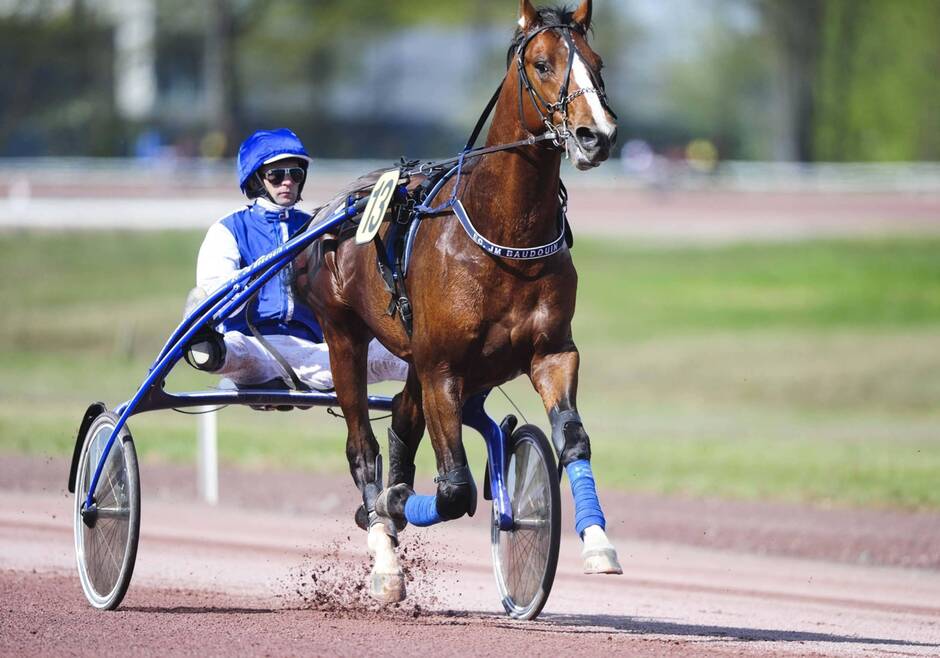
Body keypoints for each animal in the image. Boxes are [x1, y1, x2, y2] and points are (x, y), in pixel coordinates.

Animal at [298, 0, 624, 604]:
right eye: (542, 64)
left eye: (597, 62)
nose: (597, 136)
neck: (505, 235)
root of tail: (331, 209)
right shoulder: (443, 367)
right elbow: (455, 489)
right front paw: (390, 508)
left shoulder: (551, 353)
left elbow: (572, 439)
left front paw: (597, 544)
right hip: (343, 335)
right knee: (364, 447)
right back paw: (384, 551)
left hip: (418, 356)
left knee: (402, 421)